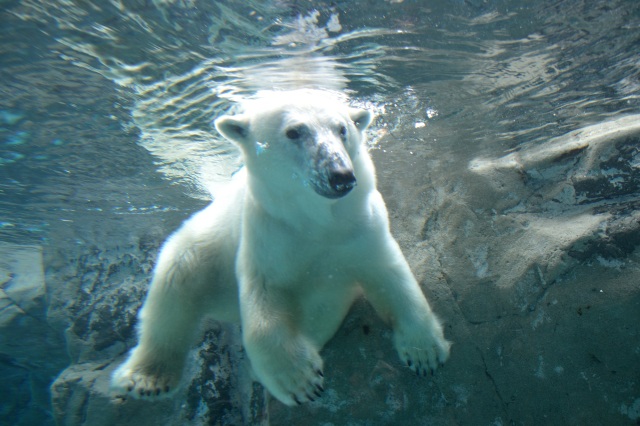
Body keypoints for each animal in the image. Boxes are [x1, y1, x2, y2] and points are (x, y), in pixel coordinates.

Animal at [110, 89, 450, 406]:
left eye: (342, 128)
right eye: (294, 132)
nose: (340, 175)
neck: (317, 221)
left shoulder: (361, 227)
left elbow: (391, 276)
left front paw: (424, 352)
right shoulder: (270, 233)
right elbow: (265, 300)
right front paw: (300, 380)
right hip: (209, 247)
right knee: (176, 283)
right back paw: (147, 378)